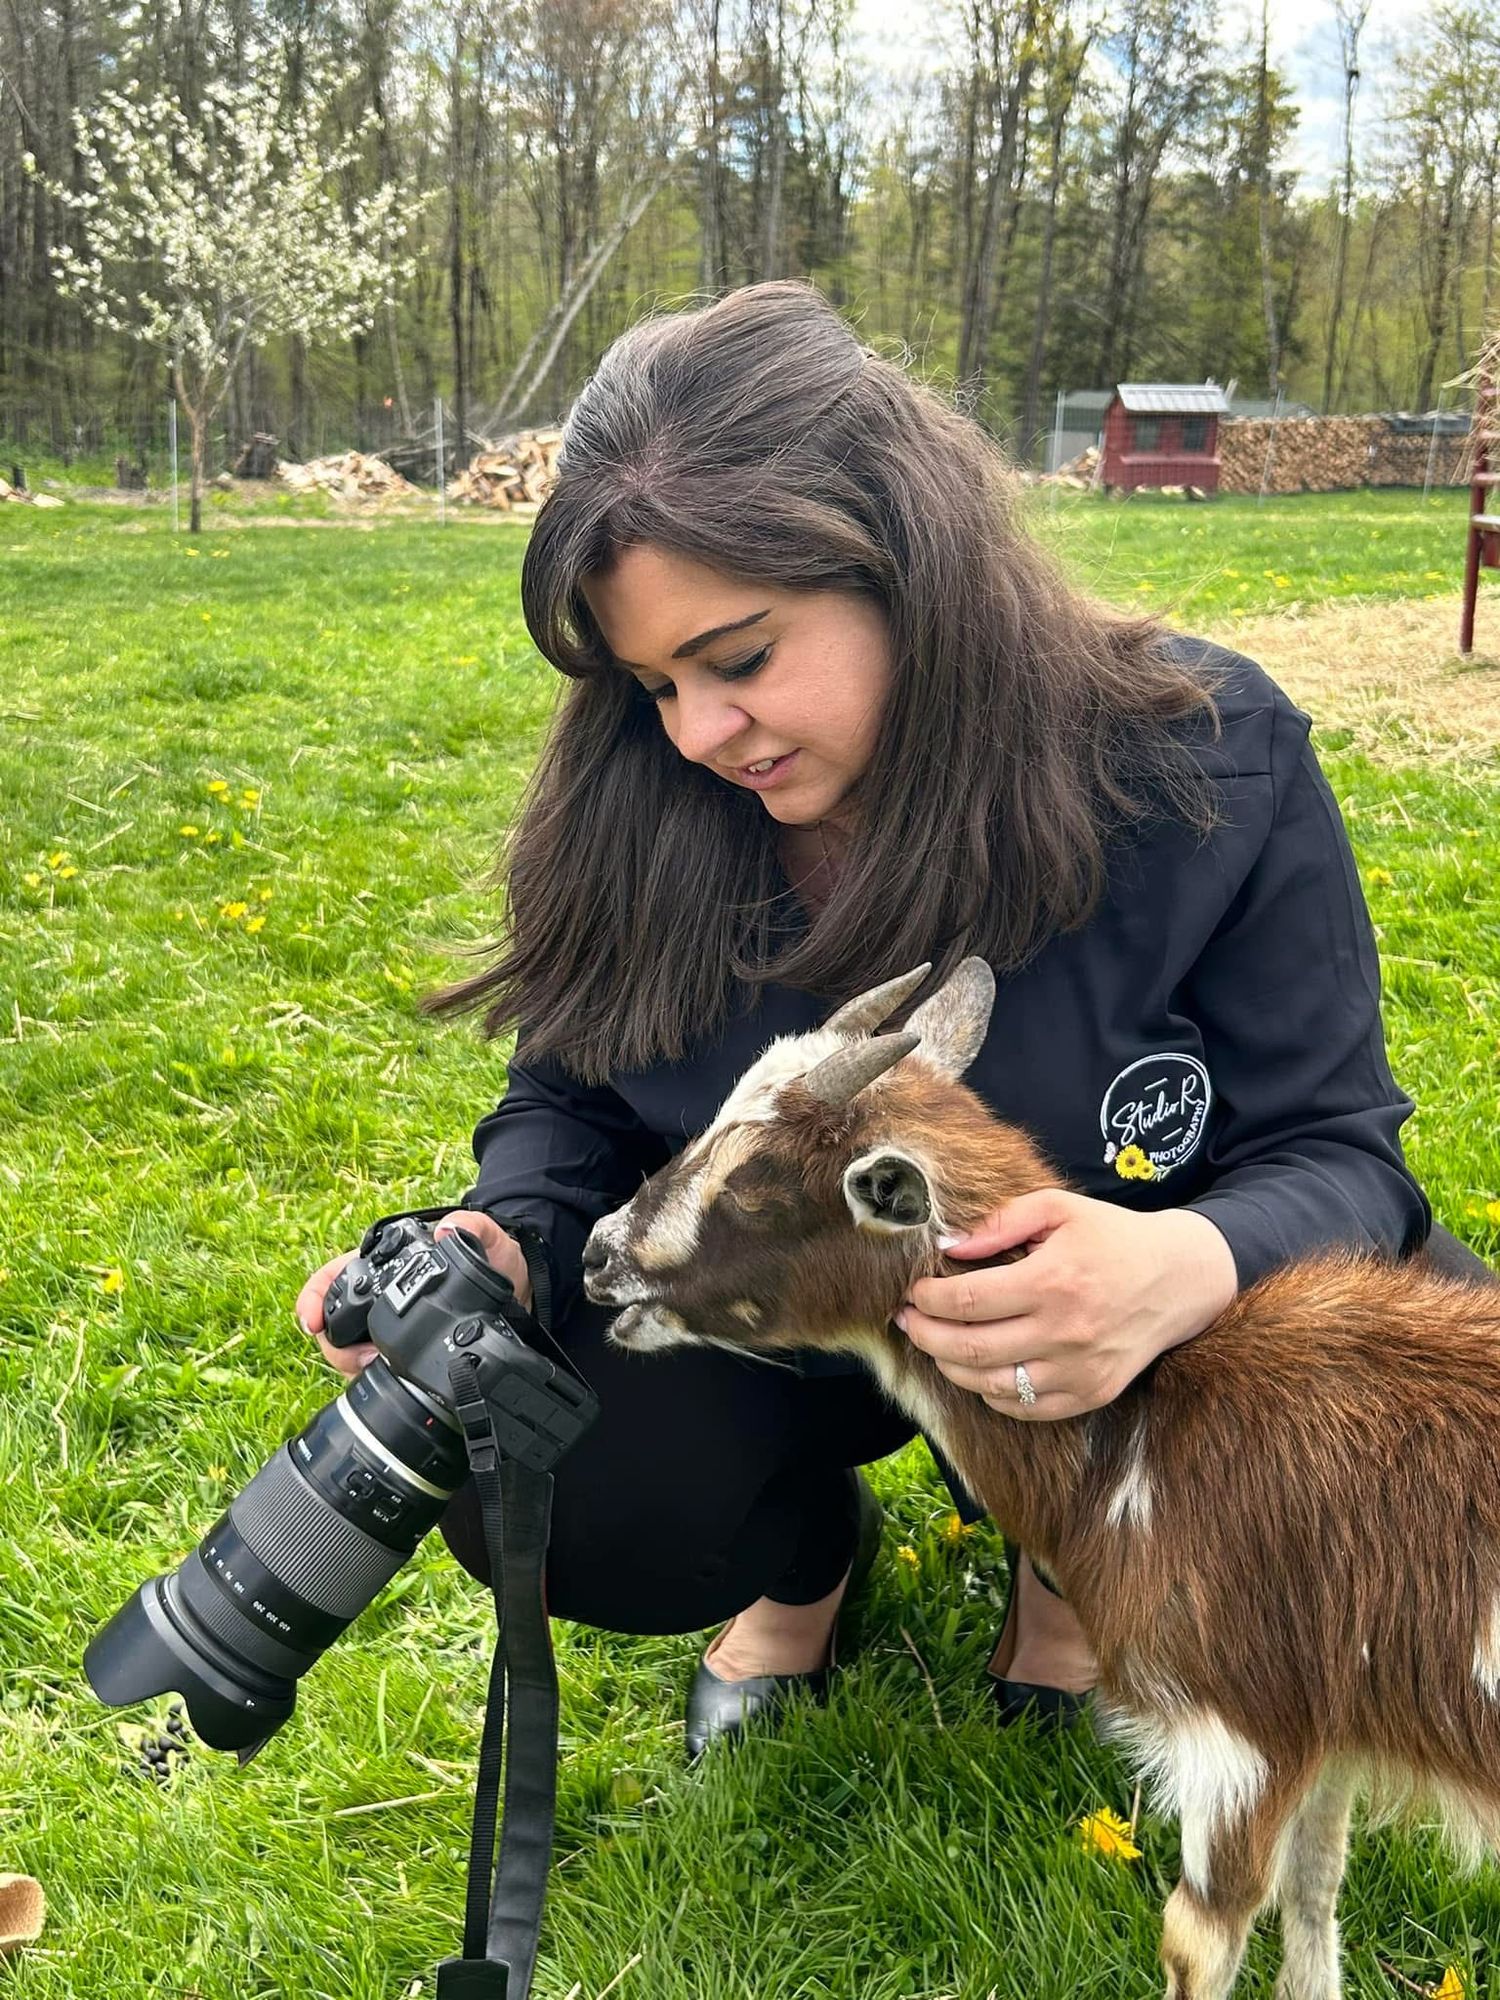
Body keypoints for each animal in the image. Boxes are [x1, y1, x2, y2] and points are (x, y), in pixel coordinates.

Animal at [581, 958, 1500, 2000]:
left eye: (749, 1189)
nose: (598, 1255)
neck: (1138, 1440)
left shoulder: (1234, 1736)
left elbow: (1201, 1940)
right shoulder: (1327, 1716)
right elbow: (1316, 1885)